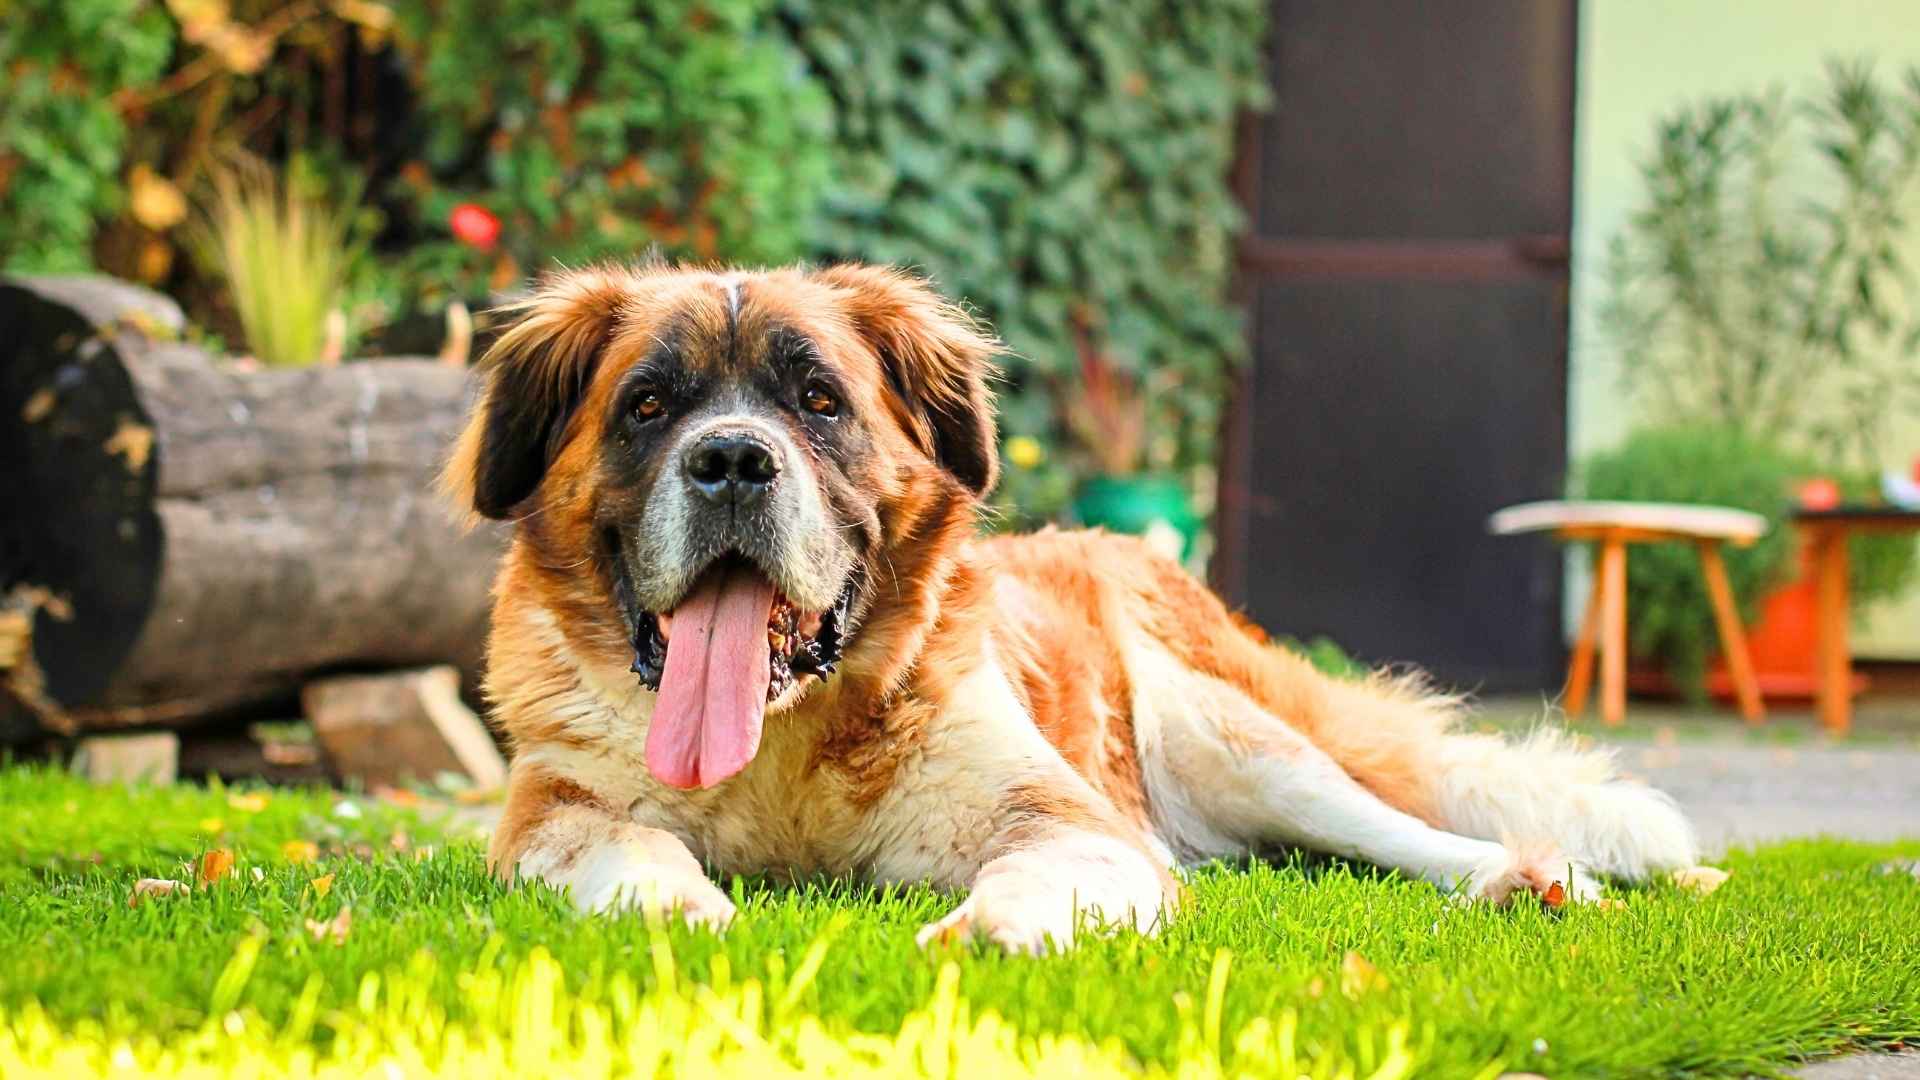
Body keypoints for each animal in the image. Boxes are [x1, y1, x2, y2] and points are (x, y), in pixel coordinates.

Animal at [445, 261, 1697, 949]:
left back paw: (1524, 875)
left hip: (1238, 740)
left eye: (819, 402)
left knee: (1398, 826)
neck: (785, 742)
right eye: (649, 407)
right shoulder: (547, 810)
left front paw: (995, 932)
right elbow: (622, 848)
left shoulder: (1059, 816)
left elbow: (1046, 868)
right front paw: (674, 908)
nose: (734, 462)